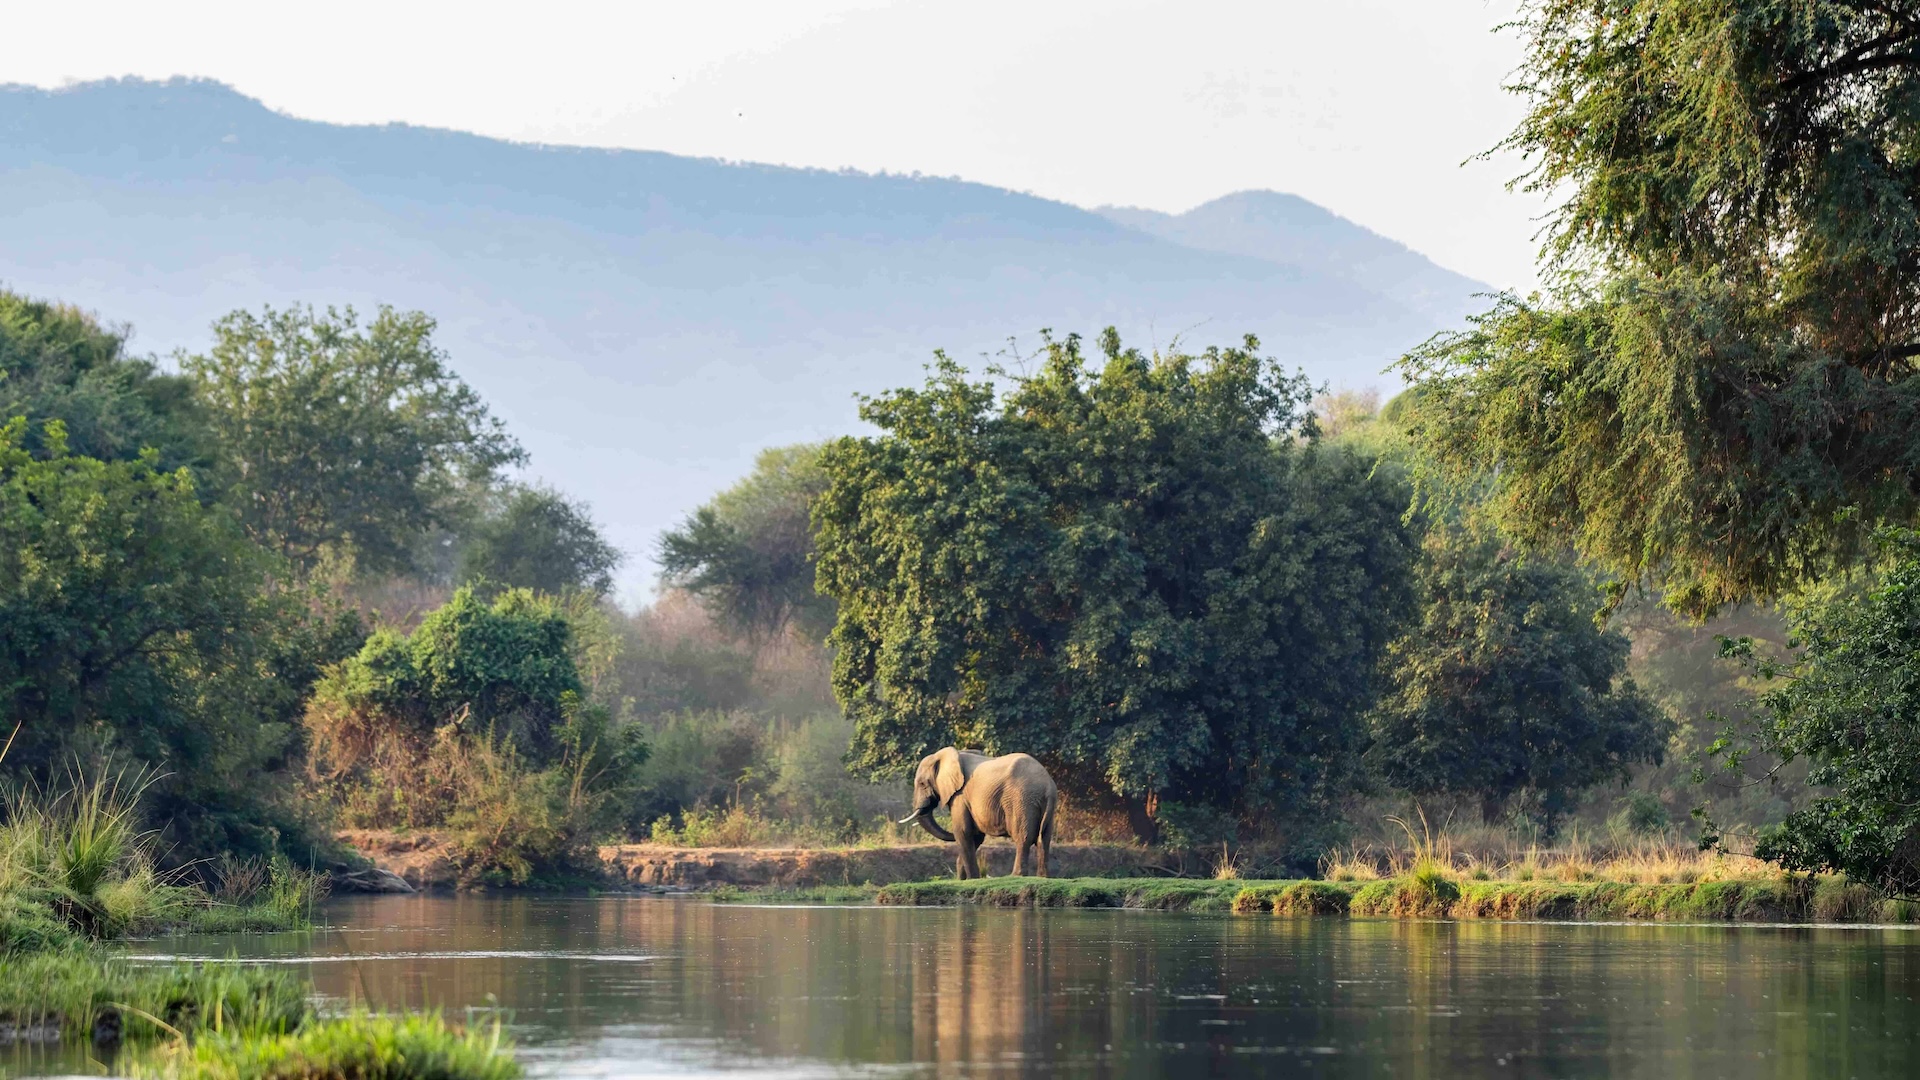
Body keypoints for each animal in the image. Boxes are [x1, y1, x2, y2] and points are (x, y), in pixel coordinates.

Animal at [897, 747, 1058, 879]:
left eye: (922, 784)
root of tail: (1047, 785)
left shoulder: (960, 796)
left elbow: (963, 831)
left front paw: (972, 879)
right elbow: (975, 836)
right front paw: (962, 880)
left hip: (1022, 799)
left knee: (1023, 837)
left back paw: (1015, 876)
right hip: (1041, 804)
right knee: (1044, 838)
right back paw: (1043, 877)